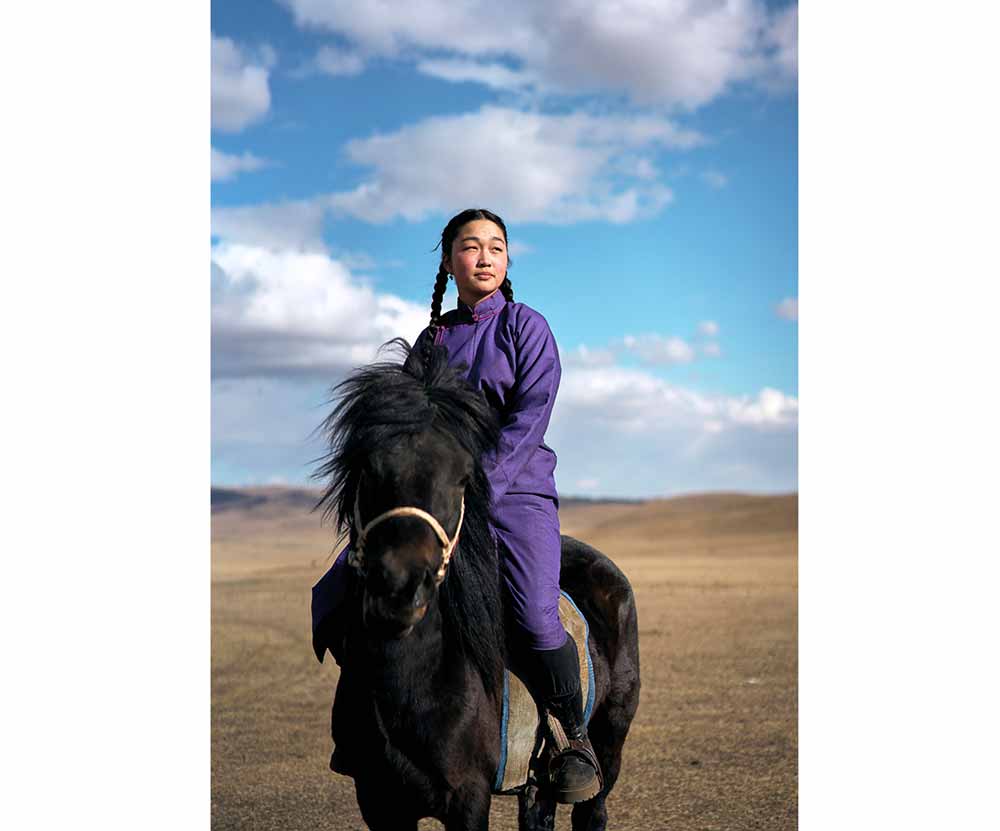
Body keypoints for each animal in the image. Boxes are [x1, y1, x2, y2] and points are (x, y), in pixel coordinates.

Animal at [312, 340, 640, 831]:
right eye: (368, 468)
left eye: (463, 478)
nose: (399, 590)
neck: (413, 682)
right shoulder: (378, 800)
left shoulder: (467, 798)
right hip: (537, 781)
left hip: (609, 743)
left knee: (592, 806)